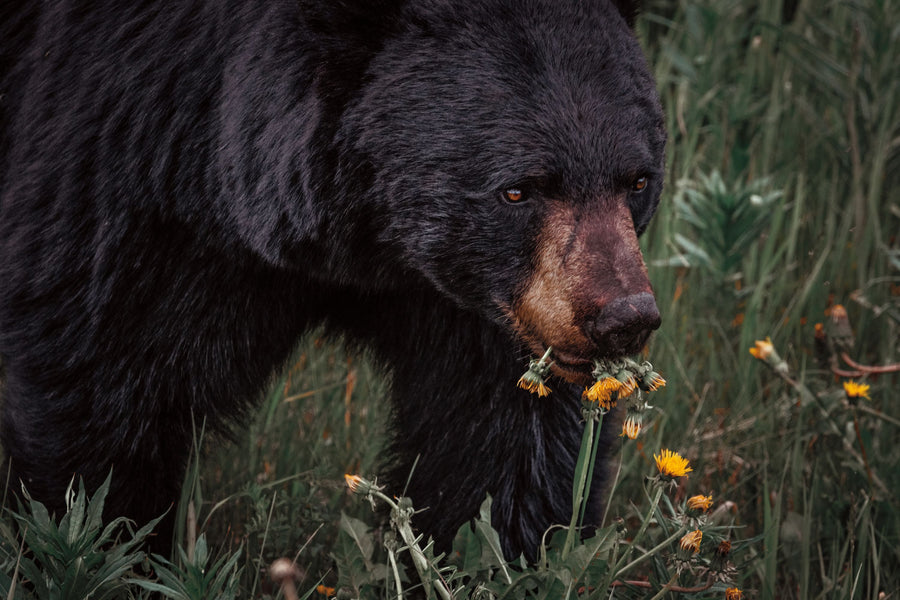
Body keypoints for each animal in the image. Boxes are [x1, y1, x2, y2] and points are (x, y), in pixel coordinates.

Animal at [0, 0, 665, 561]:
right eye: (519, 189)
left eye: (636, 180)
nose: (623, 317)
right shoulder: (136, 165)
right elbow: (109, 383)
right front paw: (101, 544)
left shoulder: (476, 296)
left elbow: (498, 433)